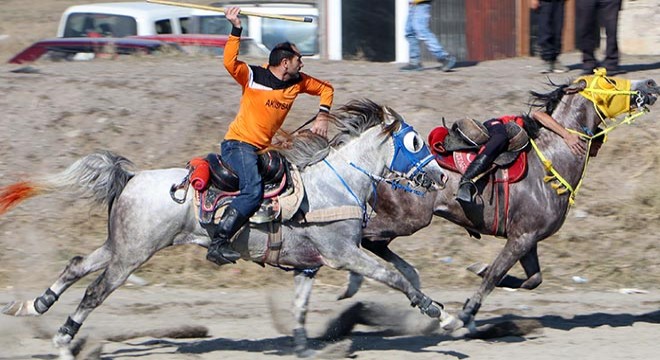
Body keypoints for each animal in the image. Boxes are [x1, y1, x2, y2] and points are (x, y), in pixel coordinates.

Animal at [0, 99, 458, 360]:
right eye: (414, 142)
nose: (440, 176)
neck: (335, 184)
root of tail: (131, 177)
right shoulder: (344, 253)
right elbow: (395, 276)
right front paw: (444, 316)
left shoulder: (310, 263)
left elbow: (302, 306)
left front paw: (302, 348)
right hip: (132, 255)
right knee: (94, 291)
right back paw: (62, 340)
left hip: (121, 245)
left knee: (77, 264)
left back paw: (33, 306)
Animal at [342, 72, 656, 330]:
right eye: (610, 81)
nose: (652, 83)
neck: (550, 162)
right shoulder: (521, 238)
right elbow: (494, 275)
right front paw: (464, 314)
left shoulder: (528, 239)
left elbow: (531, 279)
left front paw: (476, 272)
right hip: (406, 219)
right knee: (362, 240)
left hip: (400, 220)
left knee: (373, 243)